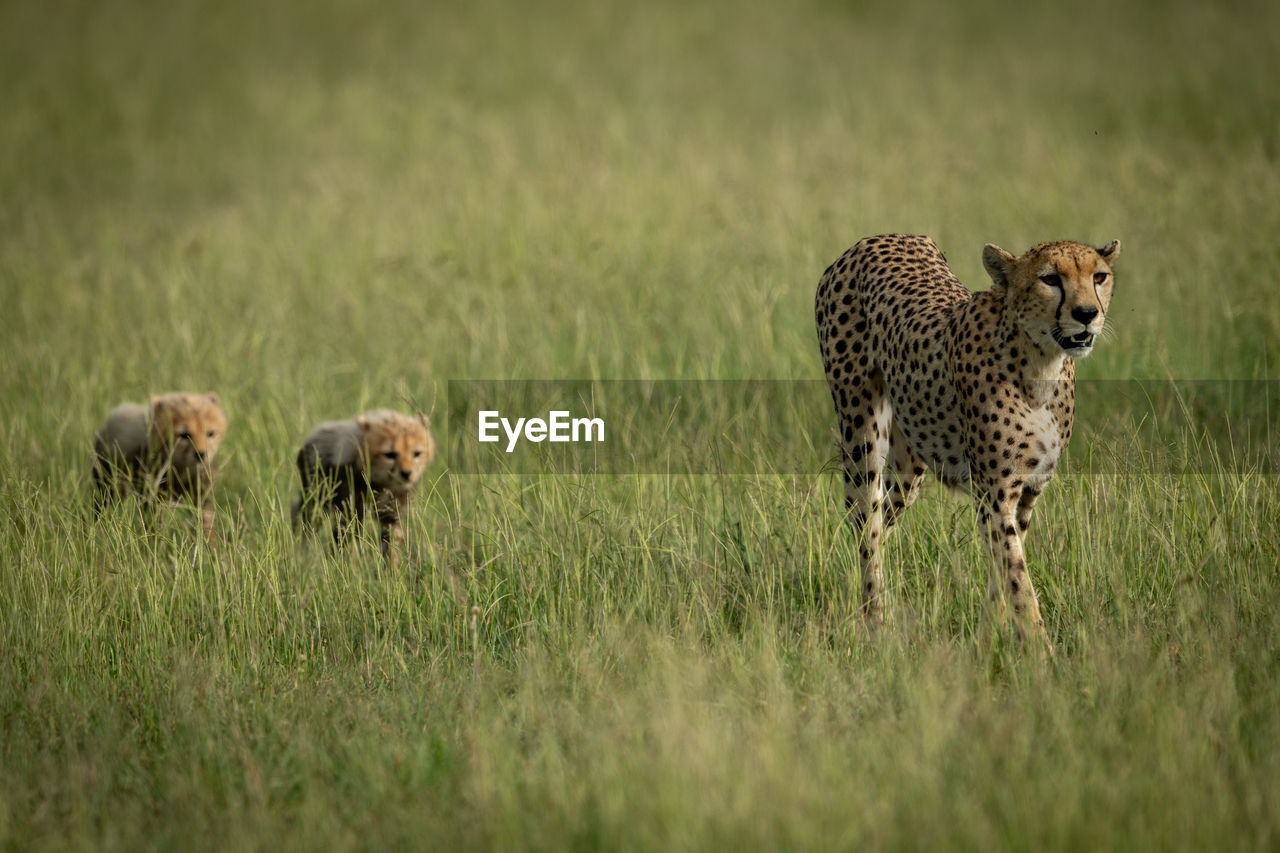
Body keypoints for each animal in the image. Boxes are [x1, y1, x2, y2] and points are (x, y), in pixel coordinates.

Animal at [819, 233, 1121, 645]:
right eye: (1050, 279)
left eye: (1099, 276)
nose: (1087, 313)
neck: (1041, 364)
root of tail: (874, 239)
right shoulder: (995, 493)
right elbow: (1019, 581)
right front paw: (1041, 653)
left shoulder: (1027, 494)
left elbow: (1004, 571)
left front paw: (989, 638)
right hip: (861, 436)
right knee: (867, 528)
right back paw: (876, 625)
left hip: (910, 467)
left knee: (884, 515)